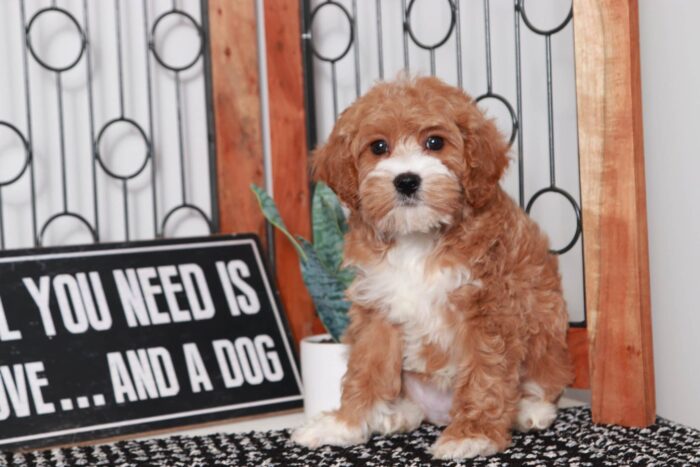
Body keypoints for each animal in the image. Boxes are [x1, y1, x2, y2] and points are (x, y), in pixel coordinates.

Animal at [292, 77, 572, 460]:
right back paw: (394, 414)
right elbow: (365, 368)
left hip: (547, 329)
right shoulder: (377, 307)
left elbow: (485, 373)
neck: (418, 237)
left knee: (545, 380)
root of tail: (438, 414)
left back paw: (528, 409)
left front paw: (472, 435)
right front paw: (344, 425)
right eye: (379, 147)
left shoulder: (489, 309)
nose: (406, 180)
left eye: (435, 142)